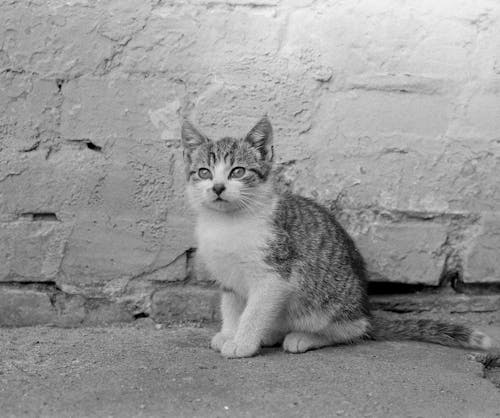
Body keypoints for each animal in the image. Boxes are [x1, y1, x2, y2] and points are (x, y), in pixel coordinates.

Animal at [180, 116, 492, 358]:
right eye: (204, 172)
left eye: (238, 171)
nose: (218, 187)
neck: (227, 222)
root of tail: (366, 312)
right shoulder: (227, 275)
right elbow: (232, 307)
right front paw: (229, 333)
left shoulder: (275, 275)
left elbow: (254, 311)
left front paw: (243, 342)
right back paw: (271, 334)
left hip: (325, 301)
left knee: (351, 330)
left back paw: (304, 337)